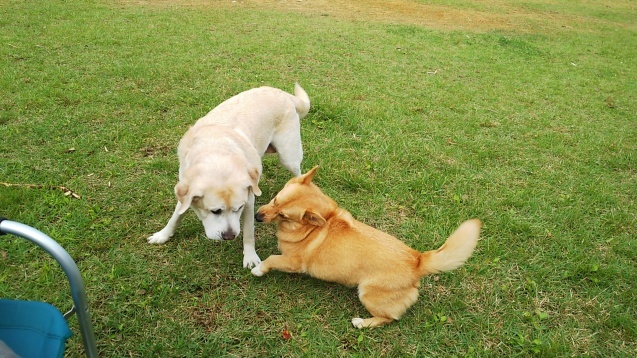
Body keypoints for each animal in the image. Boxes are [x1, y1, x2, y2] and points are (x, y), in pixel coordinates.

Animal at [148, 84, 310, 268]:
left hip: (288, 156)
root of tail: (281, 92)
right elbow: (176, 215)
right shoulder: (185, 188)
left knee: (298, 173)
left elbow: (248, 232)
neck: (216, 155)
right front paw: (163, 234)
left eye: (238, 208)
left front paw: (250, 257)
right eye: (215, 211)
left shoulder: (249, 200)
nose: (229, 236)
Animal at [251, 166, 480, 328]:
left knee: (388, 318)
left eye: (283, 215)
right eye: (275, 199)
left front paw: (258, 269)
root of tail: (417, 260)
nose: (257, 216)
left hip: (367, 294)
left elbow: (271, 259)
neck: (322, 220)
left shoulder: (292, 262)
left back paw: (362, 323)